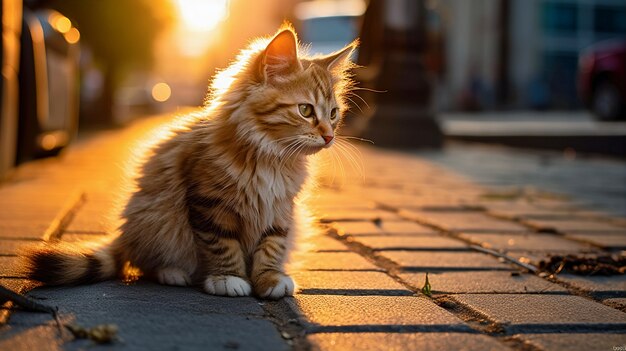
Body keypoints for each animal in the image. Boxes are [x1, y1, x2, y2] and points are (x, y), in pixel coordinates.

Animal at [23, 24, 356, 300]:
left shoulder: (281, 210)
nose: (329, 137)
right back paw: (173, 273)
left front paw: (269, 278)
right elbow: (223, 245)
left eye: (334, 114)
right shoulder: (209, 203)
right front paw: (229, 278)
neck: (271, 156)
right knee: (145, 262)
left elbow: (272, 246)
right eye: (306, 110)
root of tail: (126, 235)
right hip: (157, 217)